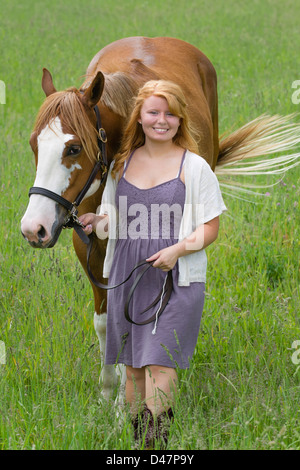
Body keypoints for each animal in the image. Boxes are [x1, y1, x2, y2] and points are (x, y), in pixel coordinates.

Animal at [20, 37, 300, 404]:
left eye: (74, 148)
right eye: (34, 144)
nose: (33, 228)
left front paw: (125, 402)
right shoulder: (91, 250)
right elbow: (105, 323)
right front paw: (107, 395)